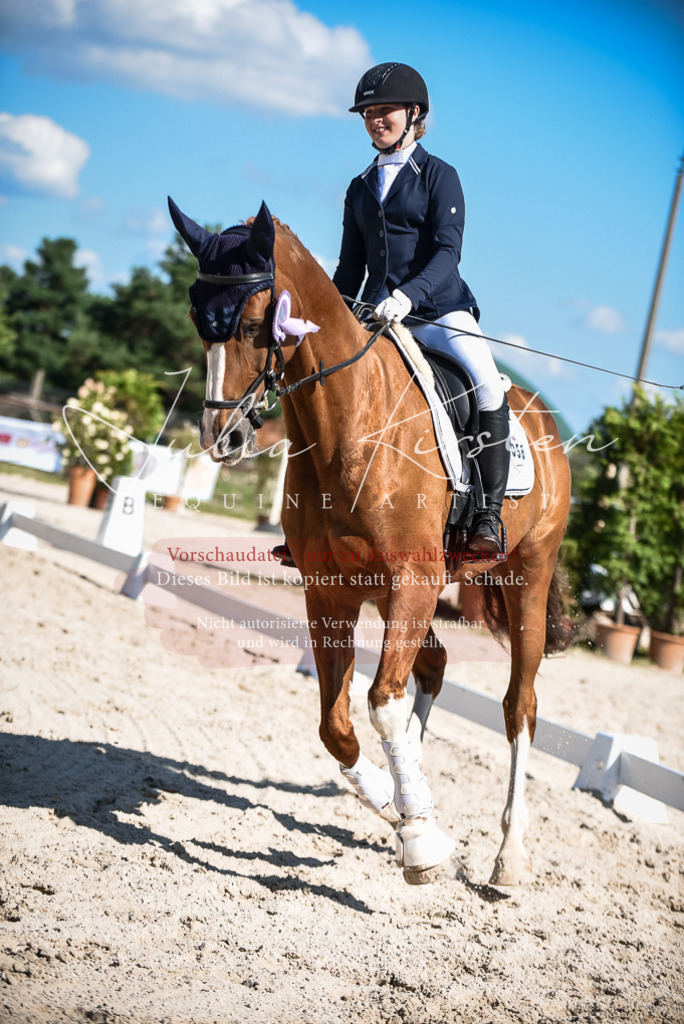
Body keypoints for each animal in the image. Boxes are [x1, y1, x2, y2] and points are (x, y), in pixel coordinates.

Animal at [168, 197, 574, 886]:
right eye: (199, 320)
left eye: (251, 324)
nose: (222, 439)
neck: (350, 420)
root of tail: (540, 414)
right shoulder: (331, 591)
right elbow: (336, 725)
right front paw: (399, 807)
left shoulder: (413, 579)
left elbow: (381, 701)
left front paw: (423, 845)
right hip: (404, 593)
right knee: (434, 666)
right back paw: (414, 800)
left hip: (524, 577)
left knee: (520, 705)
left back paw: (509, 857)